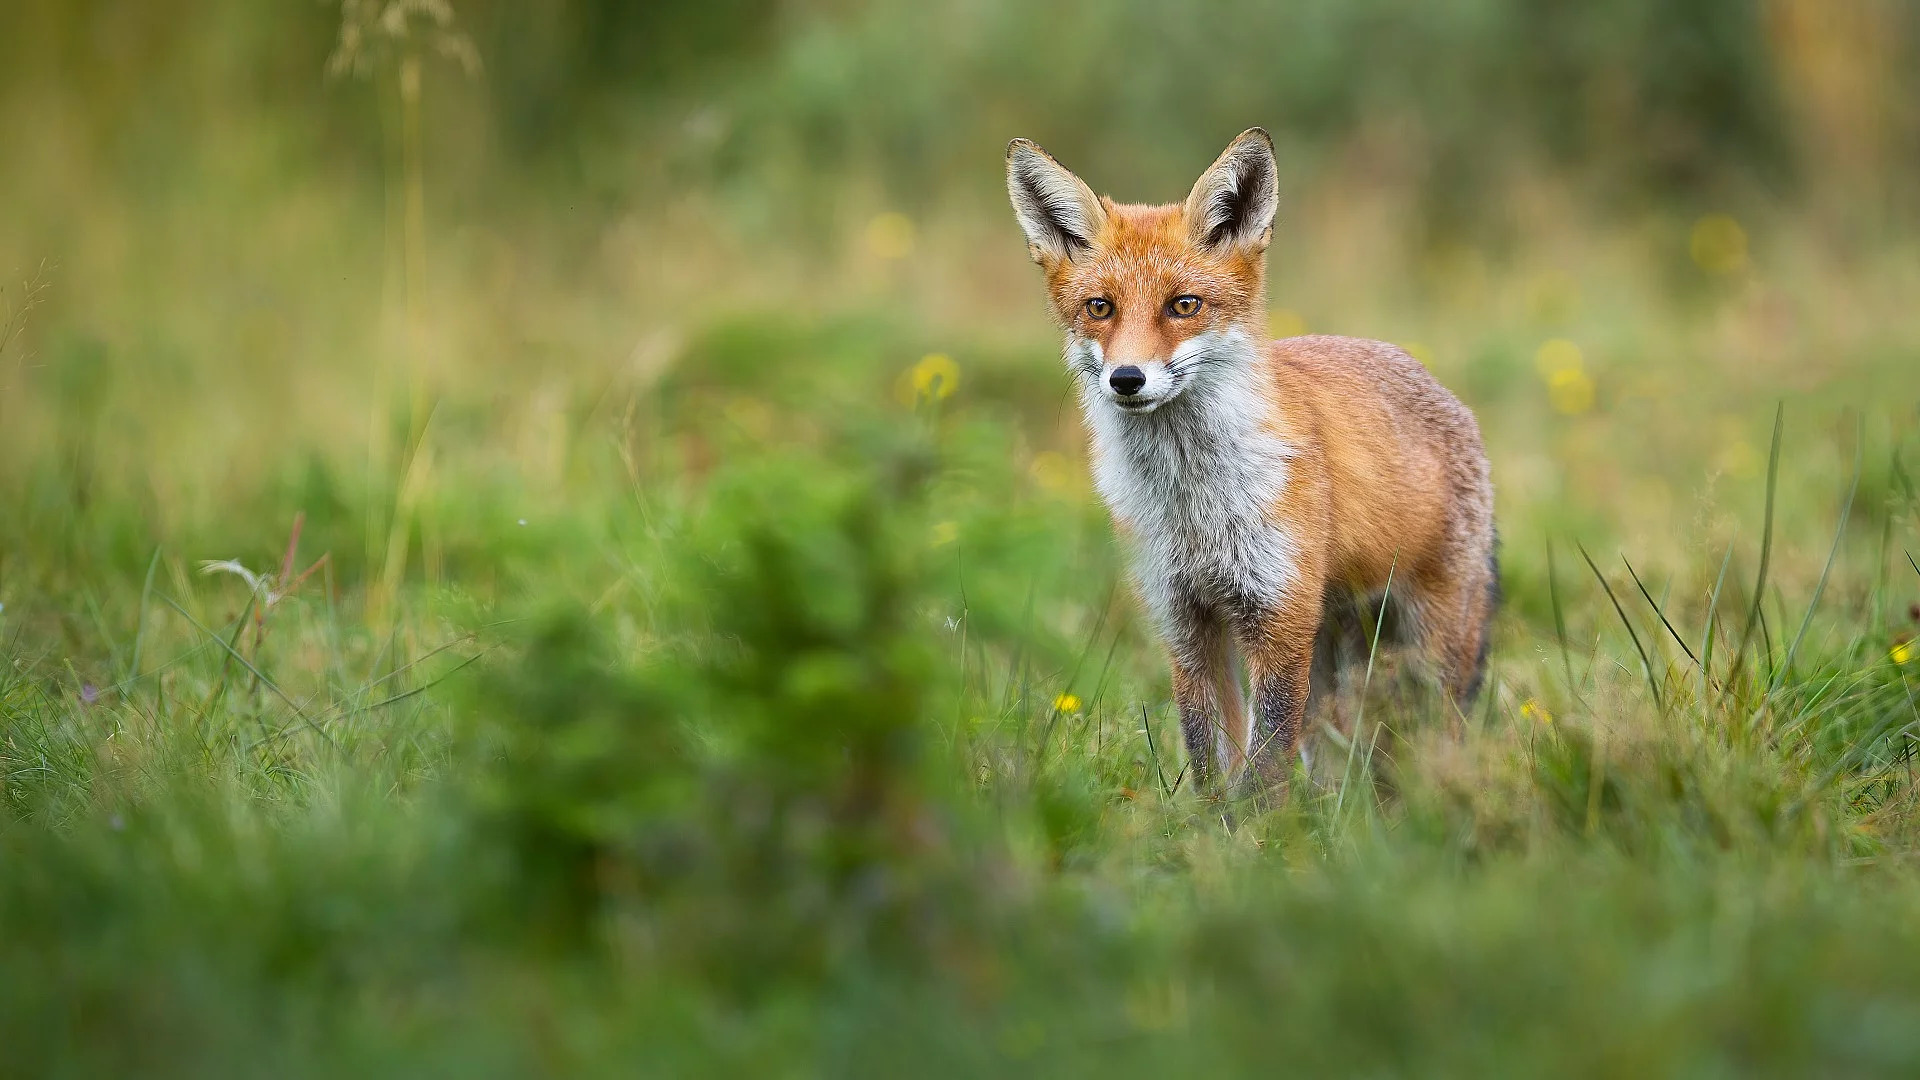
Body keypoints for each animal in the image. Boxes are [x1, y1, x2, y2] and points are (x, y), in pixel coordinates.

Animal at [1005, 128, 1498, 795]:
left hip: (1430, 639)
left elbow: (1263, 768)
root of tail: (1436, 384)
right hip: (1330, 644)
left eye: (1184, 305)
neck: (1194, 503)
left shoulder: (1277, 613)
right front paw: (1213, 825)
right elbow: (1209, 754)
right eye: (1099, 307)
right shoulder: (1183, 617)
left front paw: (1260, 825)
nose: (1127, 378)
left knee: (1434, 732)